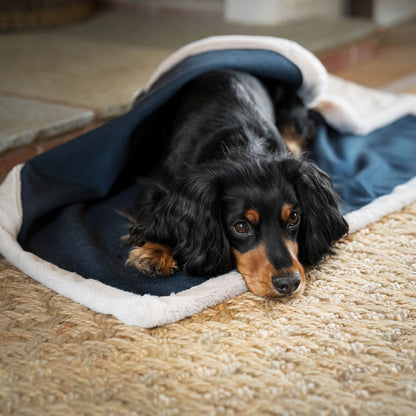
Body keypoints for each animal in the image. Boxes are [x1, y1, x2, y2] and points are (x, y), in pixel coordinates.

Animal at [126, 70, 348, 300]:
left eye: (294, 218)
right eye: (241, 227)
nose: (288, 283)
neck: (243, 146)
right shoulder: (155, 184)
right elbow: (152, 213)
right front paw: (156, 251)